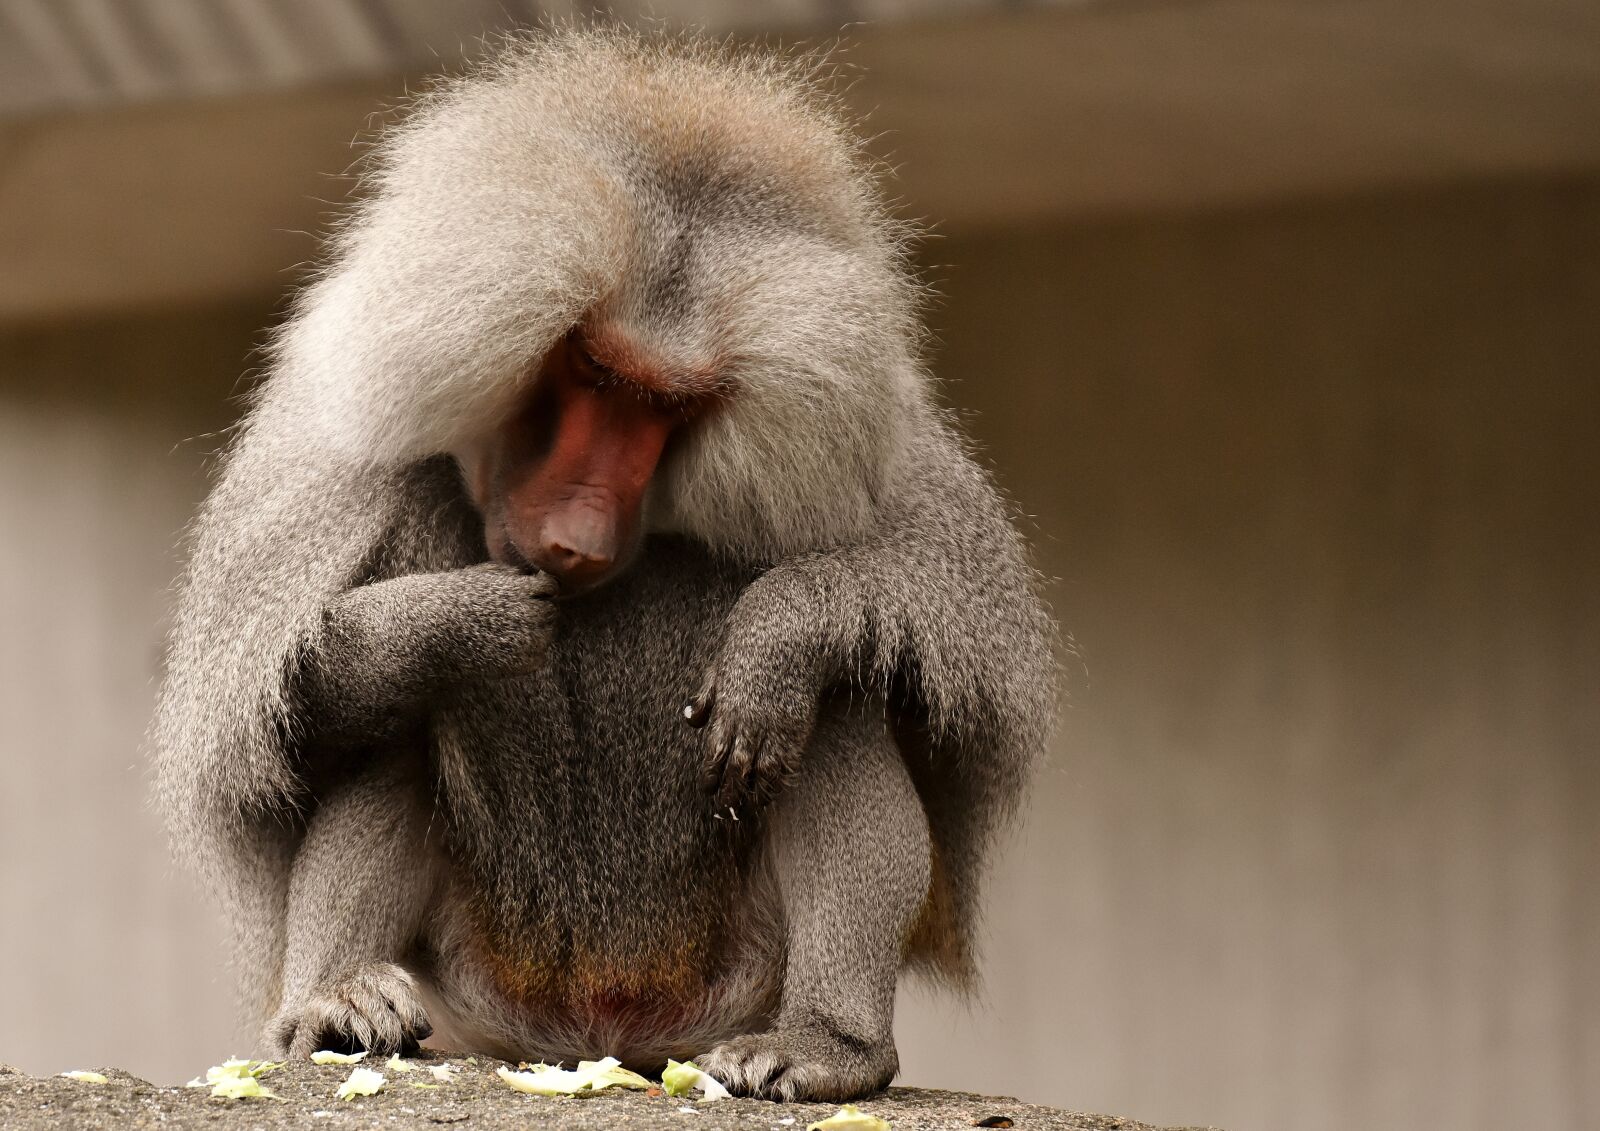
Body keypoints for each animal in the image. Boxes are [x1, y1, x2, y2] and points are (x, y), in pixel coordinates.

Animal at [152, 28, 1056, 1103]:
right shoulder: (328, 461)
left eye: (673, 405)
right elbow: (277, 734)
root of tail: (604, 1031)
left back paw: (827, 1046)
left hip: (732, 972)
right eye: (591, 370)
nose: (577, 539)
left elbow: (935, 670)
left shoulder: (885, 451)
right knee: (390, 719)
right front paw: (460, 621)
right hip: (484, 968)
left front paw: (780, 631)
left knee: (828, 705)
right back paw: (335, 1006)